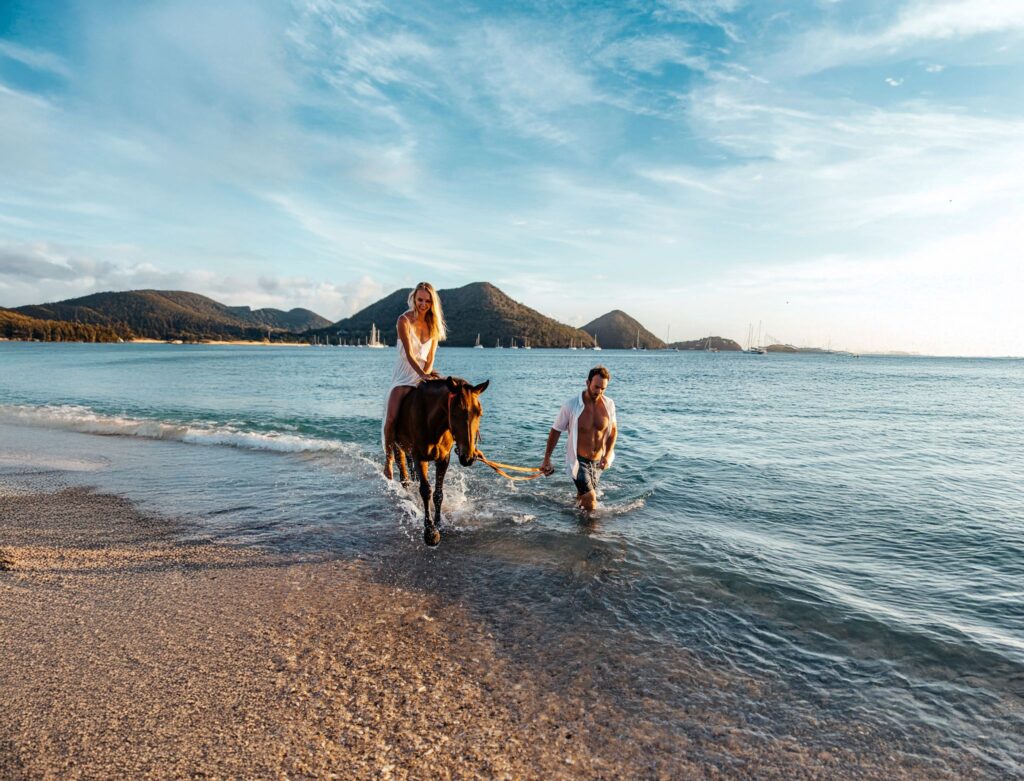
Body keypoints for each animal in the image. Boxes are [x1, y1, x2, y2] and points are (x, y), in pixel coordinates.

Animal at [390, 376, 489, 546]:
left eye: (479, 413)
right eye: (454, 413)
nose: (468, 457)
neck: (432, 423)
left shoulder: (443, 459)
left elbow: (438, 494)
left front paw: (438, 523)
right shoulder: (419, 457)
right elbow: (426, 491)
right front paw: (430, 531)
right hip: (398, 447)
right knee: (404, 477)